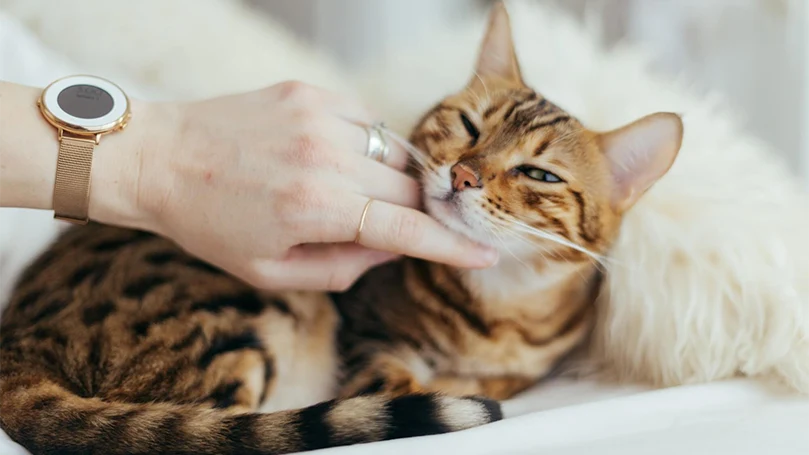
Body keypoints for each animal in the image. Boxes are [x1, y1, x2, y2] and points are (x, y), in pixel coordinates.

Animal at [0, 3, 680, 455]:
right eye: (467, 125)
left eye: (538, 173)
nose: (462, 174)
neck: (499, 311)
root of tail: (16, 341)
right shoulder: (365, 332)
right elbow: (393, 380)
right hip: (238, 304)